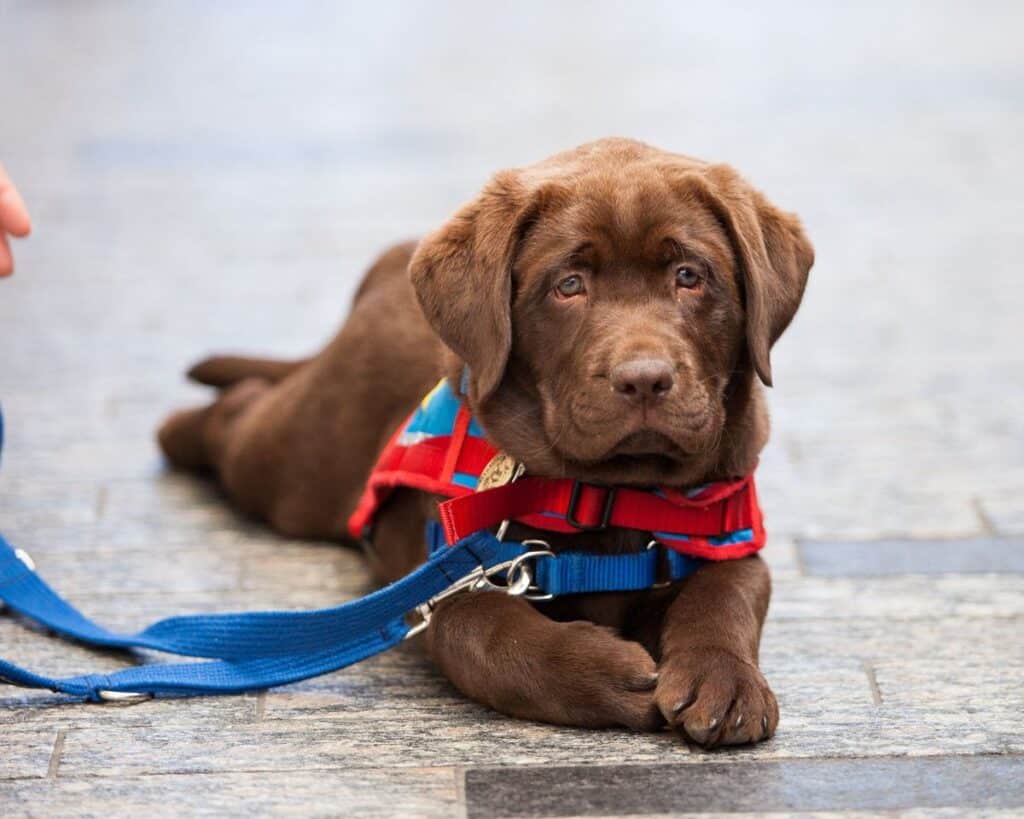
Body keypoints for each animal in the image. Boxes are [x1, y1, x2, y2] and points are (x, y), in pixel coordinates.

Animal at [155, 139, 811, 749]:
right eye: (569, 285)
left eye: (689, 276)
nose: (644, 378)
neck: (607, 494)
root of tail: (387, 269)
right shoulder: (449, 572)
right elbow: (482, 630)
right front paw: (601, 672)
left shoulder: (728, 528)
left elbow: (730, 592)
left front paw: (723, 678)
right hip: (298, 459)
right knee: (237, 416)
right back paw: (177, 428)